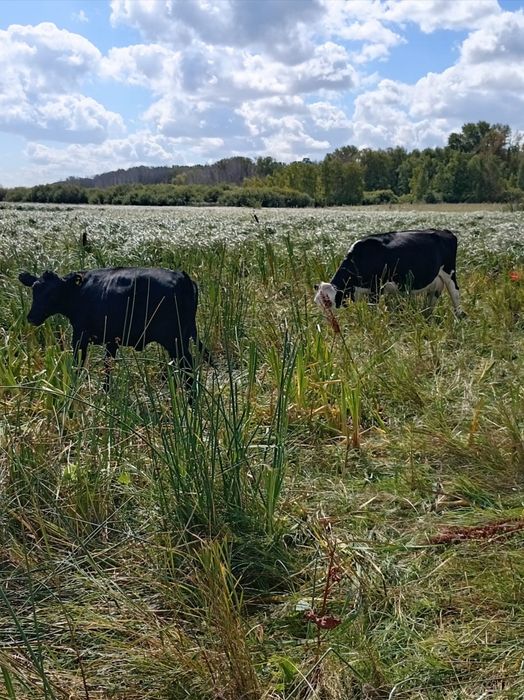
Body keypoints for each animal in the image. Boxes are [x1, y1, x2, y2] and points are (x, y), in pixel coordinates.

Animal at [18, 267, 210, 391]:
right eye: (35, 289)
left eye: (54, 292)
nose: (32, 317)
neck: (79, 291)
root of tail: (183, 276)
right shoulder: (111, 339)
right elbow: (108, 365)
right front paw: (106, 391)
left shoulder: (80, 335)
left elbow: (78, 364)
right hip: (184, 336)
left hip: (173, 339)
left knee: (188, 366)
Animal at [315, 229, 464, 317]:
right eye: (317, 303)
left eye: (329, 302)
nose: (328, 321)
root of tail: (444, 231)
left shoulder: (376, 288)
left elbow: (373, 309)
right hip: (435, 281)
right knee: (432, 298)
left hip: (449, 272)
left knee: (455, 293)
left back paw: (458, 316)